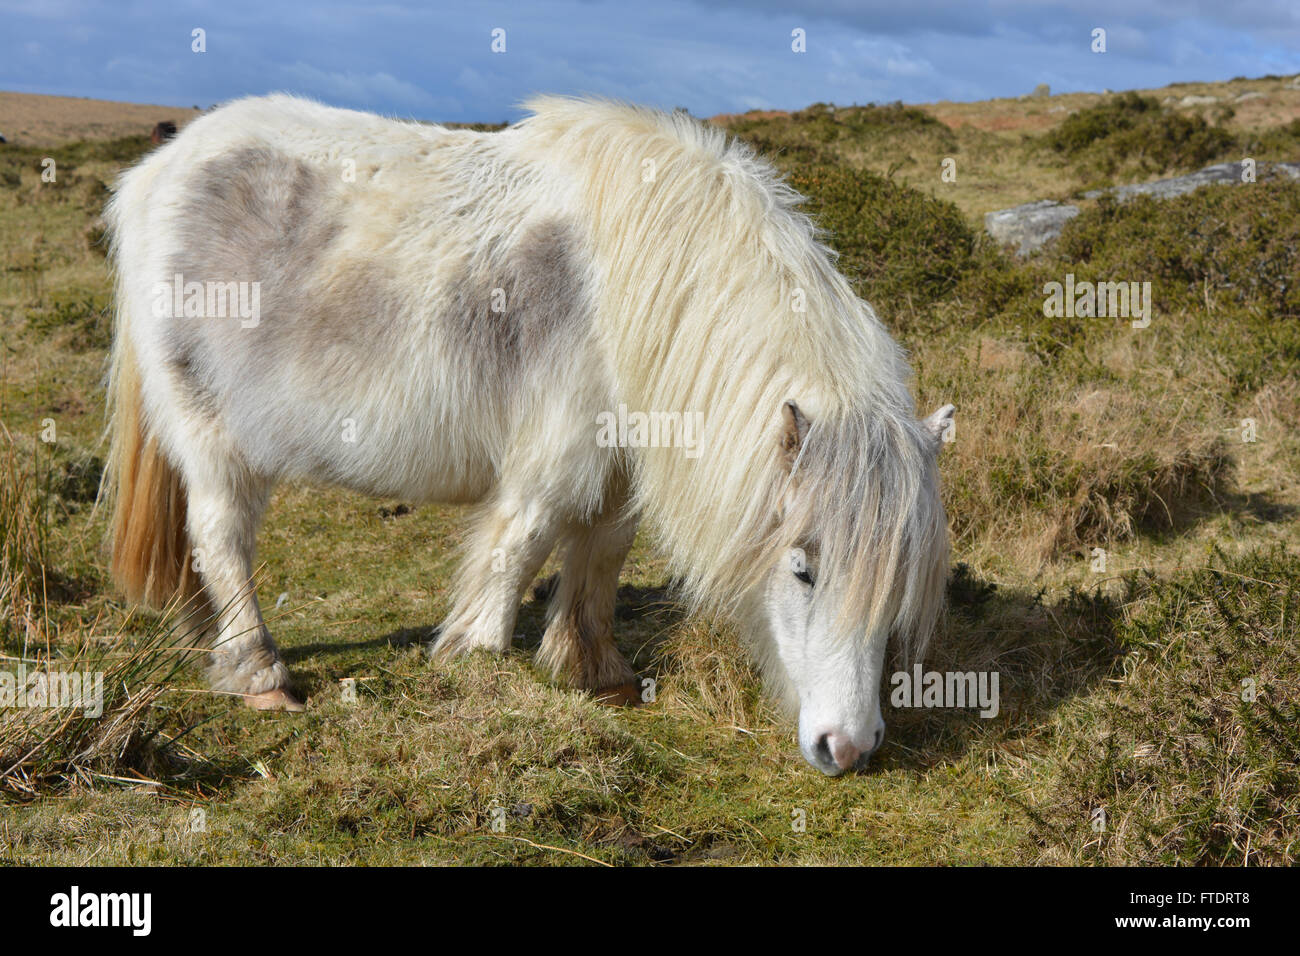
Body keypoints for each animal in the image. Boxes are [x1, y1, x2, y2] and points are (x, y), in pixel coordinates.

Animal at [104, 93, 956, 775]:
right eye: (803, 570)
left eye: (905, 581)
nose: (848, 748)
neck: (632, 287)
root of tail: (160, 172)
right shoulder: (556, 457)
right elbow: (520, 546)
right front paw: (476, 663)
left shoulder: (618, 468)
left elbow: (600, 554)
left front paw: (594, 672)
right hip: (213, 440)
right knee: (222, 540)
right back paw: (260, 677)